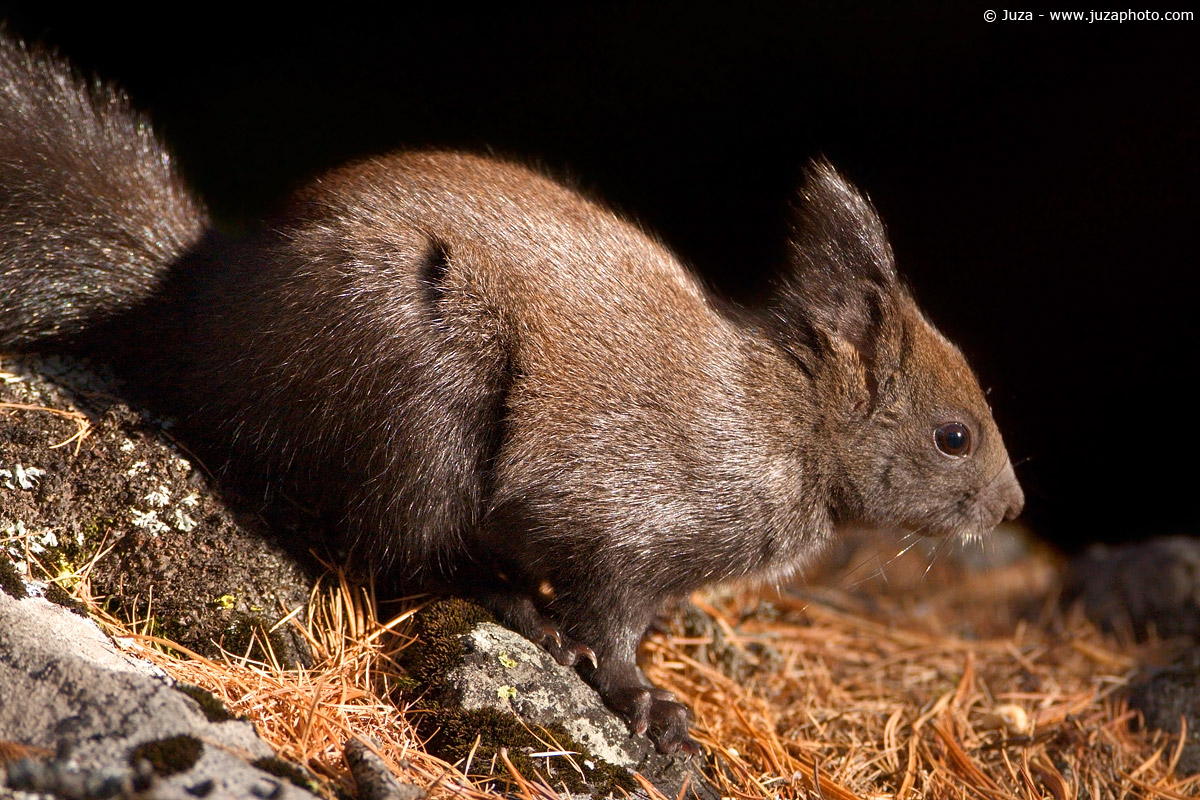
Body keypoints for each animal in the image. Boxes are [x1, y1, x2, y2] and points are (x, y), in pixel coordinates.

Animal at [0, 35, 1022, 754]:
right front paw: (643, 700)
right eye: (955, 436)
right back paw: (512, 605)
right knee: (396, 549)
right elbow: (610, 618)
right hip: (422, 403)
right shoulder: (625, 522)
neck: (786, 423)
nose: (1012, 506)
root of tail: (198, 314)